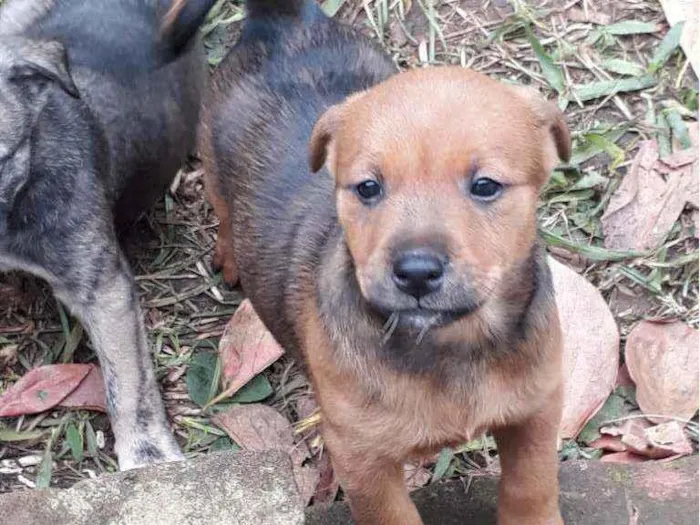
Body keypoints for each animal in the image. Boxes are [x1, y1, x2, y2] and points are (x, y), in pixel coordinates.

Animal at [200, 1, 572, 524]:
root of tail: (282, 20)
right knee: (224, 208)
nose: (415, 273)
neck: (453, 347)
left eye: (485, 186)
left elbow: (531, 486)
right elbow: (393, 516)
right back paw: (230, 256)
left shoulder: (536, 410)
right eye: (368, 188)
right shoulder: (362, 457)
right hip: (211, 155)